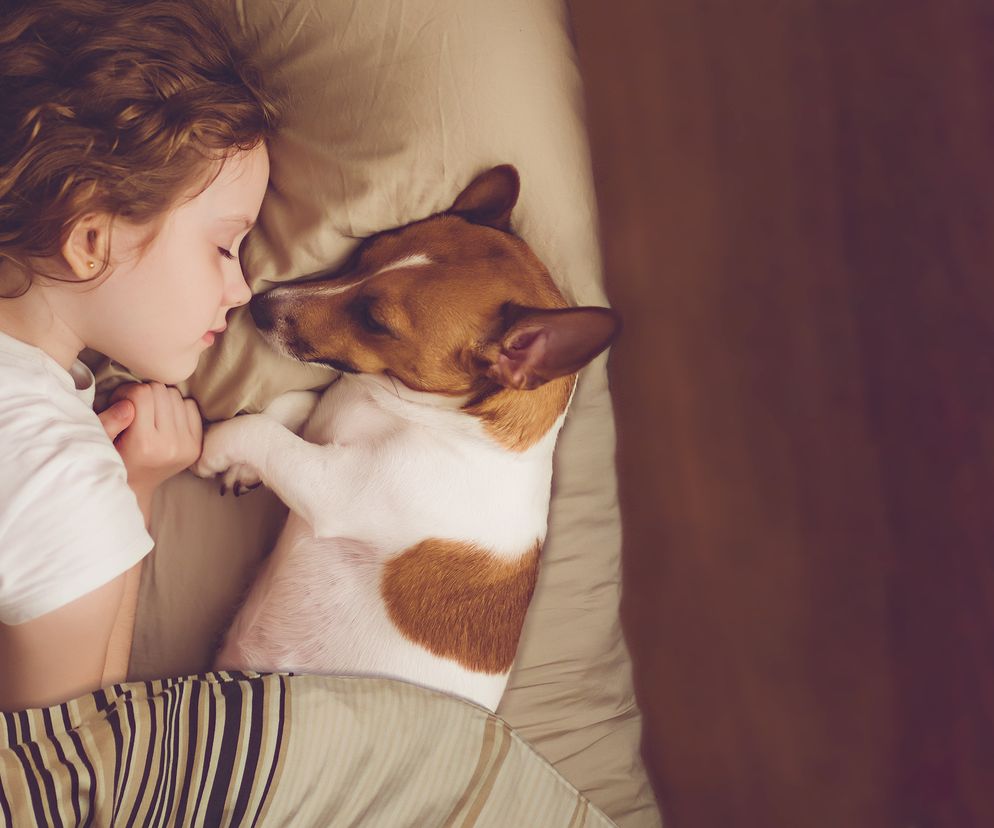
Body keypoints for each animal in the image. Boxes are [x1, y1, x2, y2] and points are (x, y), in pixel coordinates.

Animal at [190, 165, 616, 708]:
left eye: (375, 320)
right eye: (364, 254)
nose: (258, 304)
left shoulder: (334, 490)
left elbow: (262, 431)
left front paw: (213, 447)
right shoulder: (326, 422)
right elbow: (295, 407)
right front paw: (242, 467)